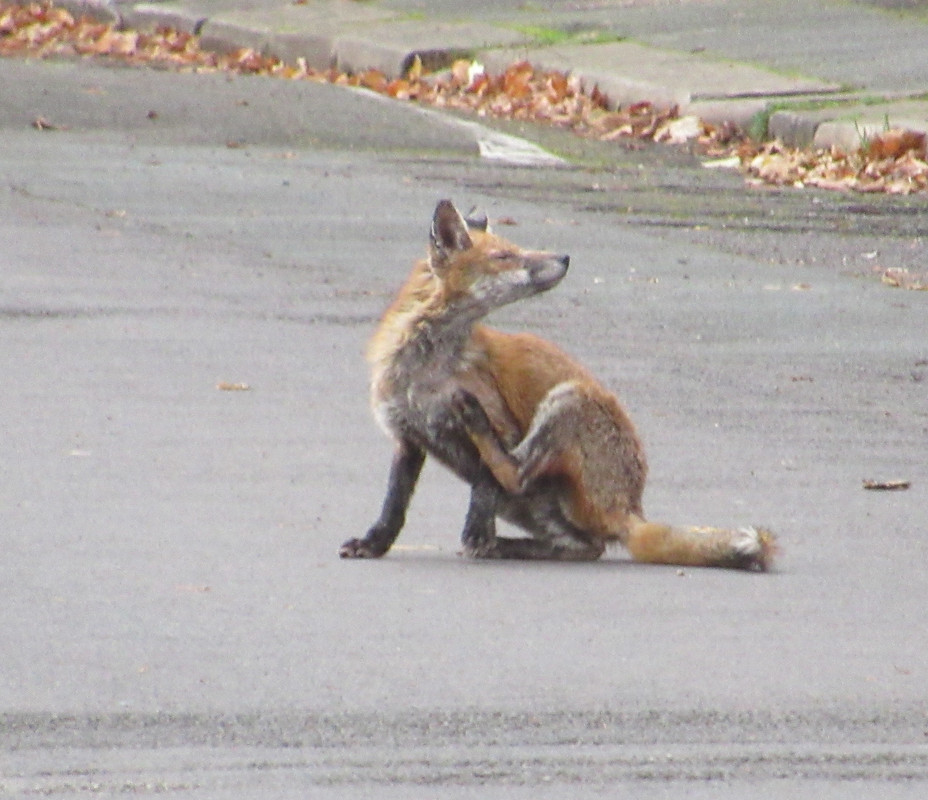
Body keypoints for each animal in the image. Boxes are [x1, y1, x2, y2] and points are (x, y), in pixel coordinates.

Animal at [339, 199, 776, 570]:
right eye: (504, 257)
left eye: (514, 248)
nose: (564, 257)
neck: (425, 371)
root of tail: (631, 507)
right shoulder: (406, 437)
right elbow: (393, 506)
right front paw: (374, 544)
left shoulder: (502, 423)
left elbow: (485, 479)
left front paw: (477, 530)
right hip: (533, 507)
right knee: (586, 547)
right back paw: (509, 547)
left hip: (568, 399)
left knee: (515, 473)